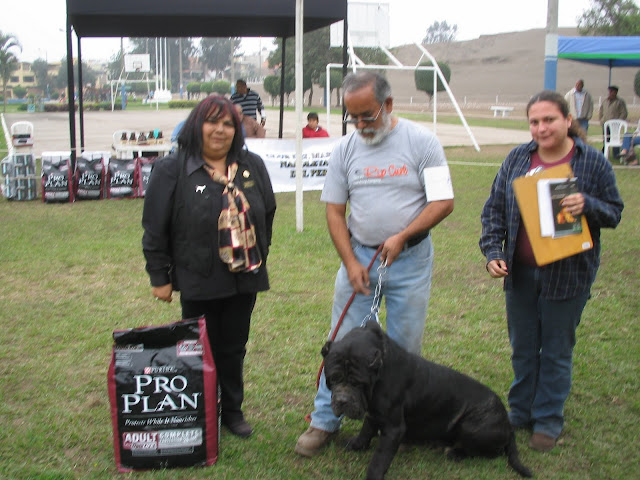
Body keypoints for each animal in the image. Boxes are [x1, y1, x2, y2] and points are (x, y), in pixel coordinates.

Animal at [322, 320, 532, 478]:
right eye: (334, 378)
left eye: (358, 383)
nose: (342, 400)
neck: (379, 374)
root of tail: (507, 424)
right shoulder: (374, 414)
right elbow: (365, 431)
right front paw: (356, 445)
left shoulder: (393, 428)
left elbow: (379, 459)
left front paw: (373, 475)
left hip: (472, 425)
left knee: (490, 452)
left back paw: (454, 452)